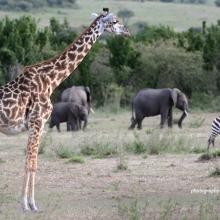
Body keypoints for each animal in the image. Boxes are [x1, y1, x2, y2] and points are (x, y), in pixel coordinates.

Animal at [0, 8, 130, 211]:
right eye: (115, 21)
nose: (127, 32)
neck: (50, 80)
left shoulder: (35, 126)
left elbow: (30, 162)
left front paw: (27, 203)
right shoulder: (37, 123)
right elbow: (31, 164)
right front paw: (30, 205)